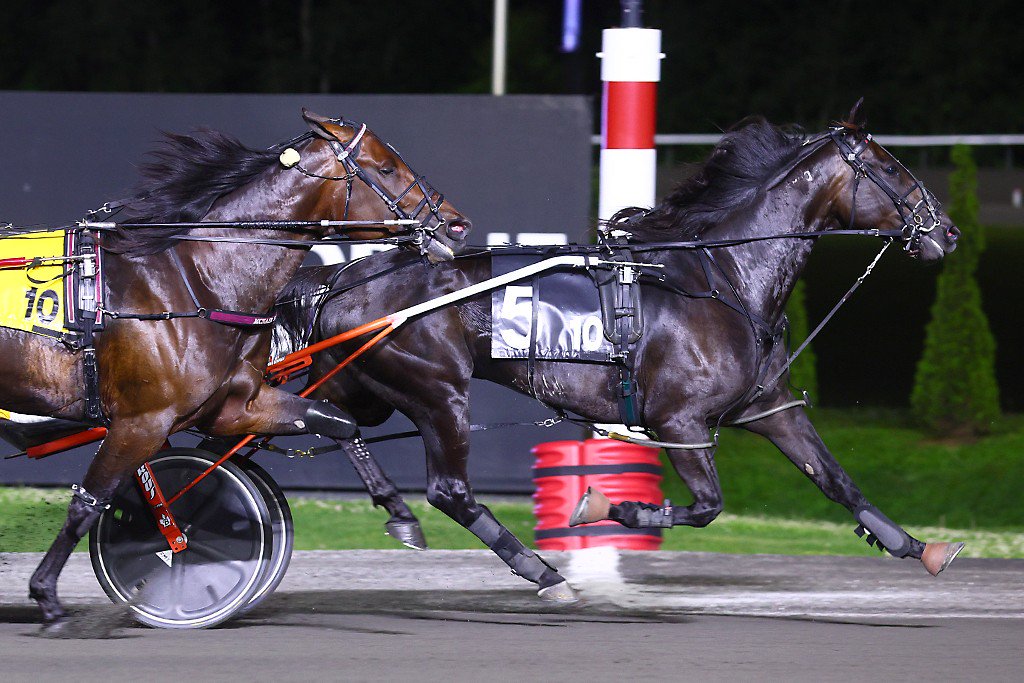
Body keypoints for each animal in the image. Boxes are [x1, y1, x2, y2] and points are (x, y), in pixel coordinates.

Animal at [0, 108, 471, 628]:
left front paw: (400, 513)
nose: (455, 224)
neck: (193, 281)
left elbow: (336, 420)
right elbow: (90, 504)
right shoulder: (140, 420)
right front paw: (49, 594)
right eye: (386, 167)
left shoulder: (229, 405)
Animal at [274, 106, 963, 602]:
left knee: (331, 422)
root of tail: (341, 278)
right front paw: (605, 504)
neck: (725, 278)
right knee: (447, 490)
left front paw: (918, 546)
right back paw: (541, 571)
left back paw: (397, 511)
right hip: (437, 392)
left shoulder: (768, 407)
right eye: (892, 168)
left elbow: (837, 480)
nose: (949, 232)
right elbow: (706, 507)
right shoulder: (680, 421)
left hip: (367, 388)